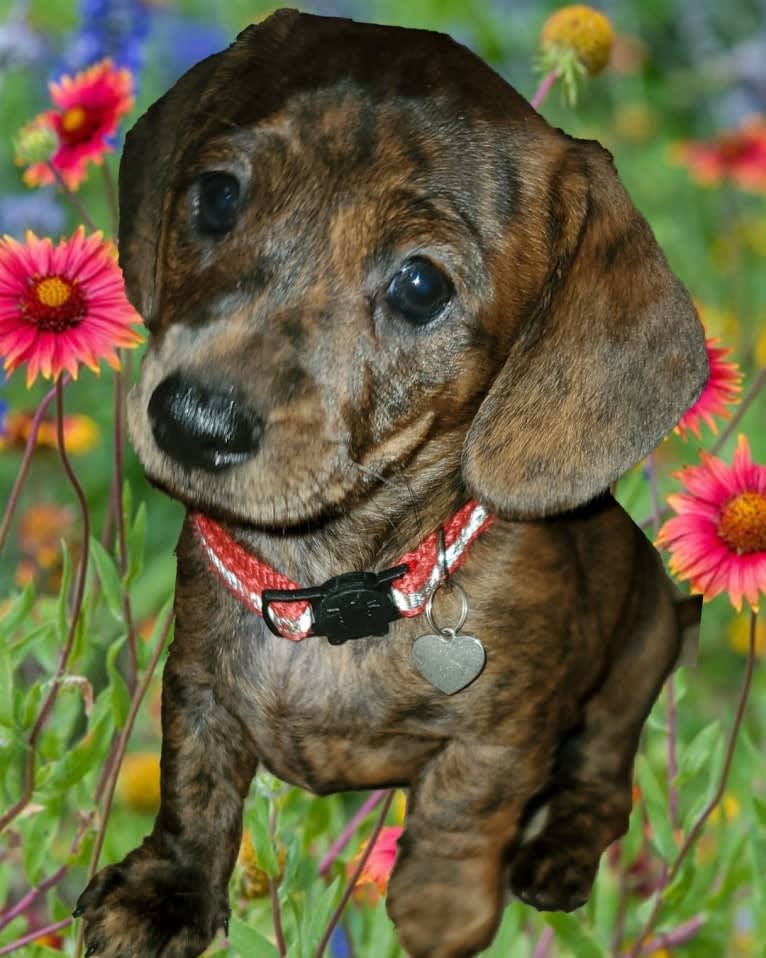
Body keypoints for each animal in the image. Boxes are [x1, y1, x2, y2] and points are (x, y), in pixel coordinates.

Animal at [75, 9, 712, 958]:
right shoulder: (197, 680)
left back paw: (560, 850)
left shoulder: (501, 739)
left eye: (420, 284)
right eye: (217, 195)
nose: (191, 422)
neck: (331, 588)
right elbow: (196, 786)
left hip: (629, 673)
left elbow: (459, 815)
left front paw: (437, 912)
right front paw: (168, 890)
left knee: (603, 780)